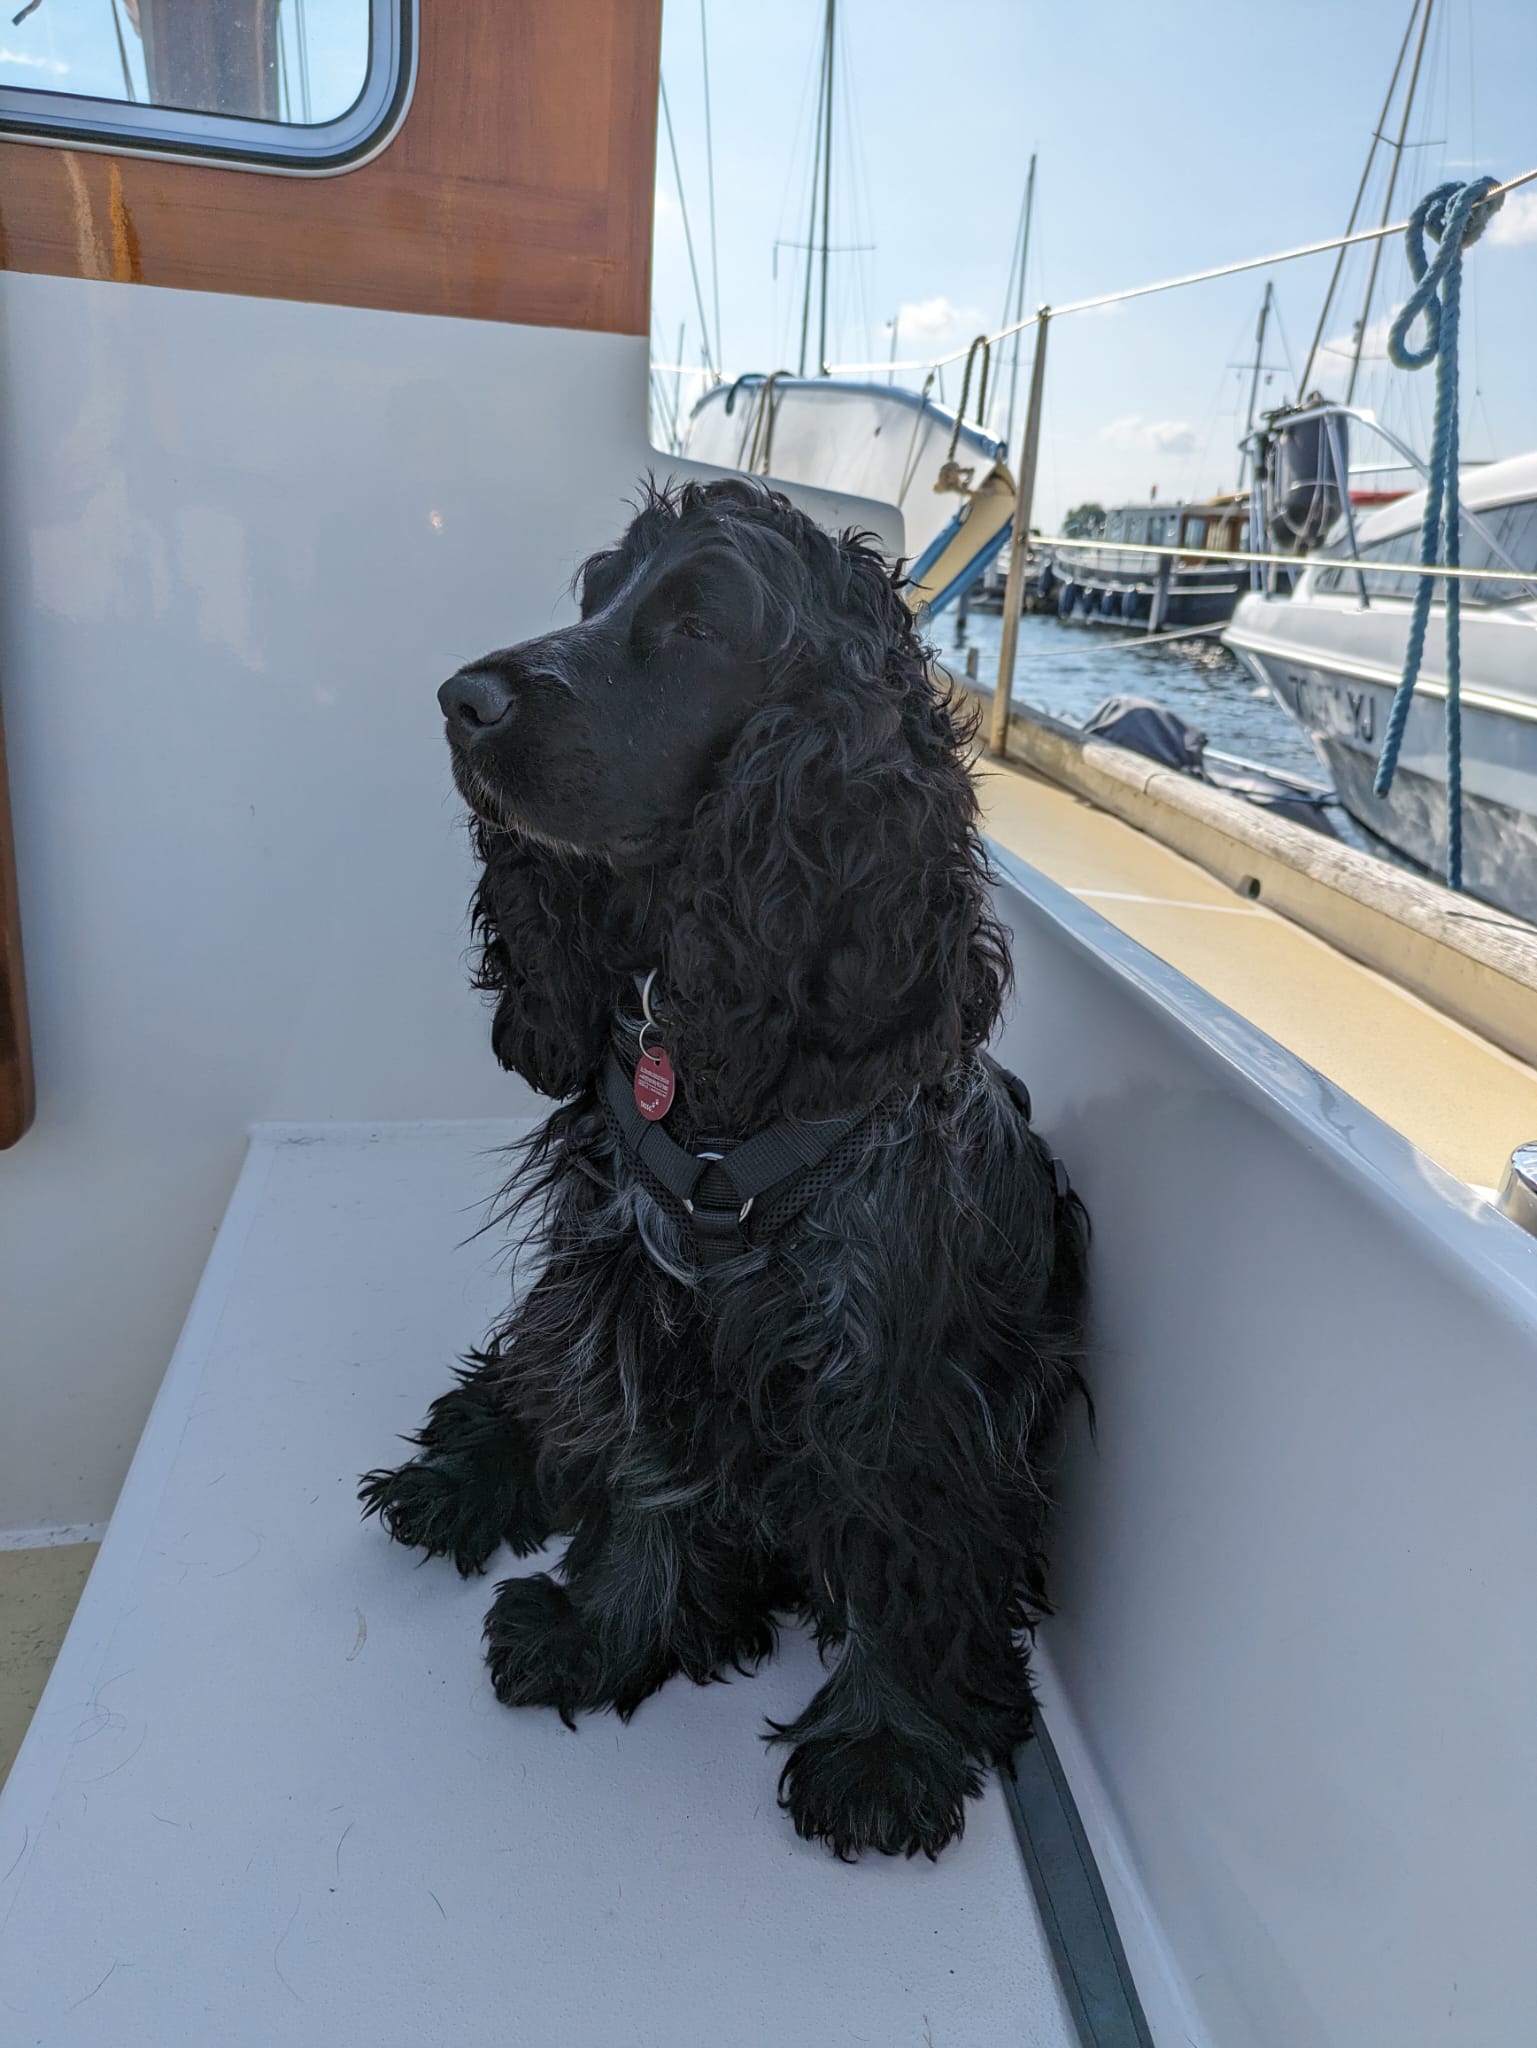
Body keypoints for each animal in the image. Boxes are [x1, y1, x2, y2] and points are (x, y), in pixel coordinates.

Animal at [361, 478, 1088, 1860]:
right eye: (597, 598)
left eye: (699, 624)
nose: (459, 699)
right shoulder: (640, 1306)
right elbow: (646, 1477)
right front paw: (606, 1630)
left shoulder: (909, 1378)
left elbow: (912, 1551)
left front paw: (886, 1746)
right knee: (526, 1394)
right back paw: (457, 1475)